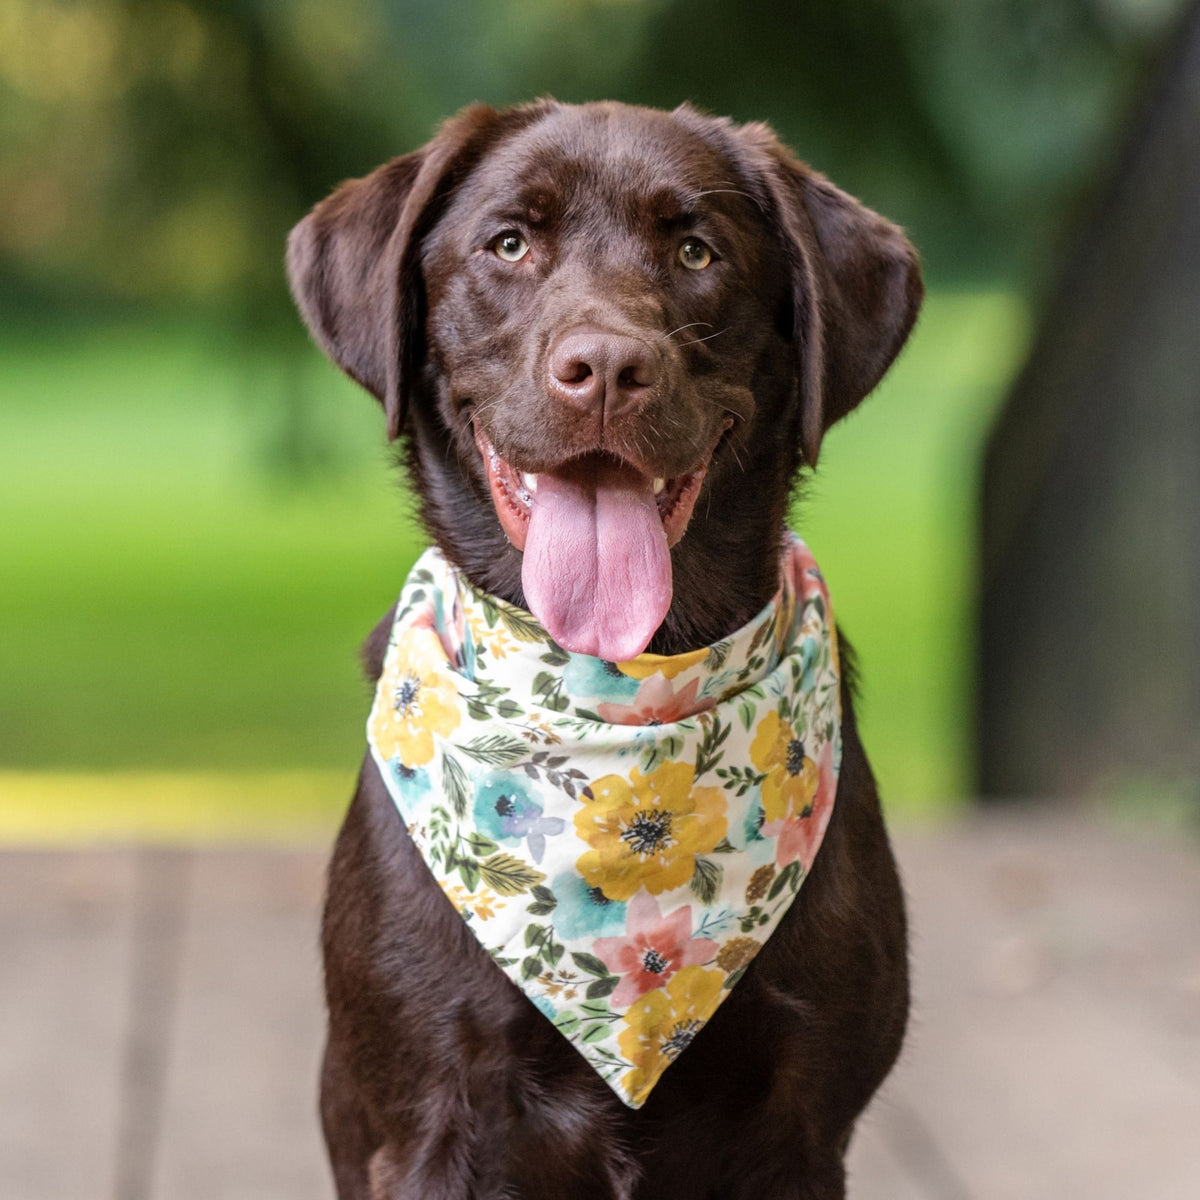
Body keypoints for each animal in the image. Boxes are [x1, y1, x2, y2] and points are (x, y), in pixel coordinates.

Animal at [288, 98, 916, 1195]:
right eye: (509, 243)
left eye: (697, 251)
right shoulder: (429, 1117)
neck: (621, 692)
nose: (610, 370)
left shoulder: (804, 1129)